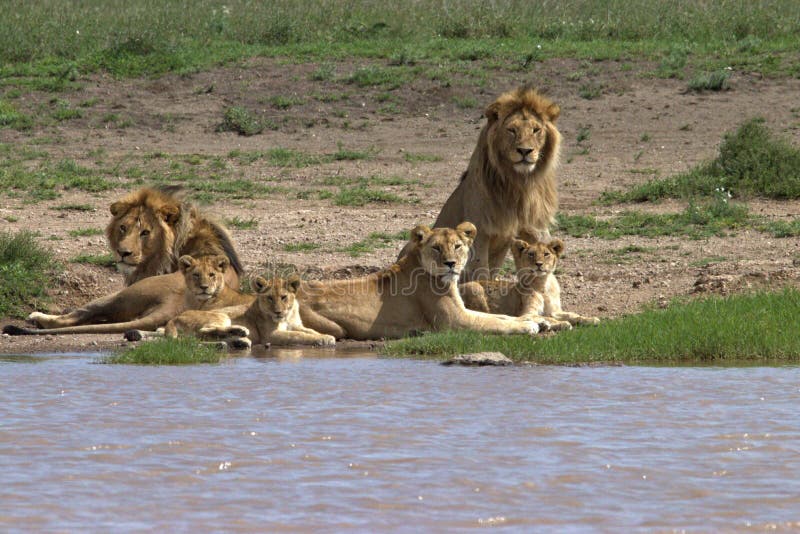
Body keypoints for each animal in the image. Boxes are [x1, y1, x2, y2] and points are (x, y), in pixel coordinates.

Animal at [2, 254, 247, 338]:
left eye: (212, 275)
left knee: (71, 318)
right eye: (197, 275)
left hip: (119, 295)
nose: (204, 287)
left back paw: (37, 317)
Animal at [296, 223, 540, 344]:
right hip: (334, 327)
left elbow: (500, 316)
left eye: (457, 246)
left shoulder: (462, 311)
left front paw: (535, 320)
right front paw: (528, 326)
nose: (450, 263)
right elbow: (495, 323)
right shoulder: (456, 322)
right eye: (436, 248)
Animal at [400, 86, 564, 282]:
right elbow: (481, 271)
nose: (525, 151)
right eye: (512, 130)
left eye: (536, 130)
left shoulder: (534, 227)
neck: (517, 182)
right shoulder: (480, 231)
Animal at [460, 240, 596, 330]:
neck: (543, 284)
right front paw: (563, 323)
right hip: (475, 287)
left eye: (546, 254)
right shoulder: (528, 312)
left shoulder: (554, 311)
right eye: (531, 254)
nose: (539, 264)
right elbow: (548, 318)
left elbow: (572, 314)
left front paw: (590, 319)